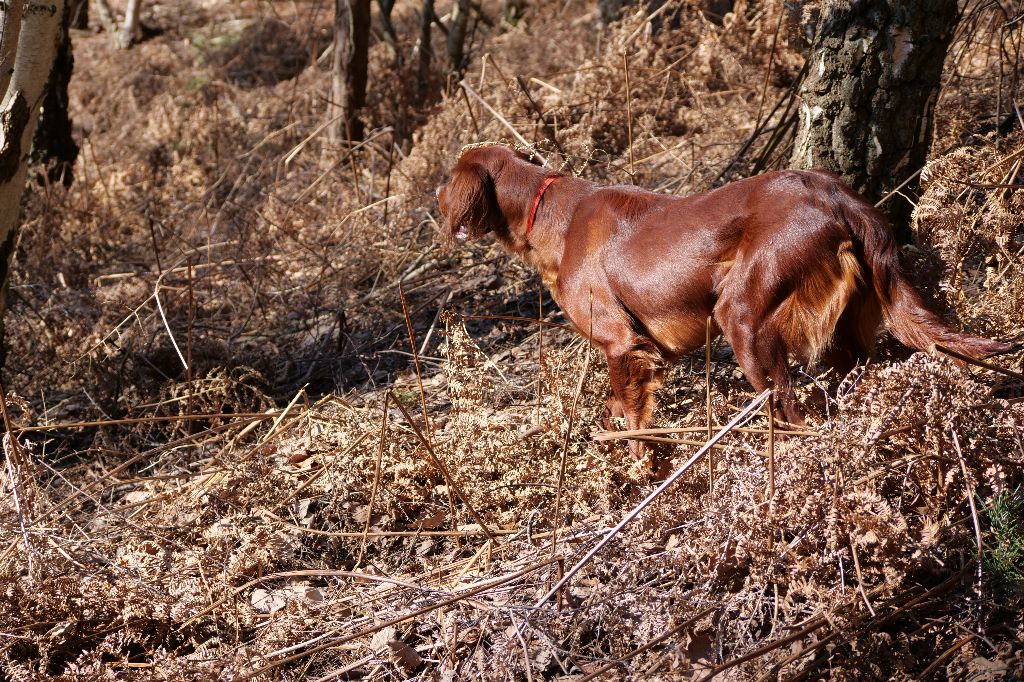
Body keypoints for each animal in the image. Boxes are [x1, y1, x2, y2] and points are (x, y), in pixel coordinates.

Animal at [436, 146, 1019, 458]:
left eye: (446, 180)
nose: (435, 202)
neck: (553, 214)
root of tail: (836, 195)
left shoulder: (622, 345)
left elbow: (634, 420)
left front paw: (641, 474)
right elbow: (616, 413)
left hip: (743, 318)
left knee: (790, 409)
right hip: (841, 324)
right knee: (856, 375)